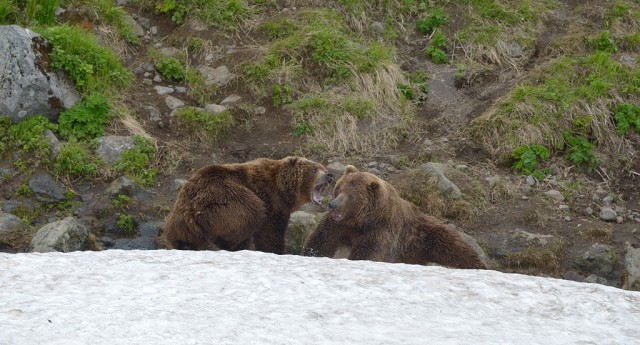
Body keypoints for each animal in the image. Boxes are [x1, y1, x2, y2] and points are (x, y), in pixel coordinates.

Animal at [302, 165, 488, 268]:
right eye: (339, 188)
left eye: (351, 196)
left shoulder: (381, 229)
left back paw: (479, 265)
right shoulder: (338, 225)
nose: (332, 205)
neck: (360, 222)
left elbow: (367, 251)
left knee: (455, 247)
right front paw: (311, 254)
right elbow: (322, 239)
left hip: (425, 236)